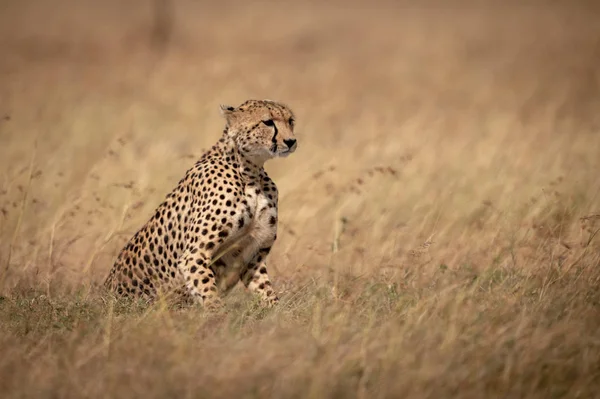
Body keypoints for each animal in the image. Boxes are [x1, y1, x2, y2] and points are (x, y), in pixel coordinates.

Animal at [105, 100, 298, 310]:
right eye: (268, 122)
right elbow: (209, 295)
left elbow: (267, 293)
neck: (251, 173)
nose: (291, 141)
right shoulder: (194, 255)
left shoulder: (253, 257)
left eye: (290, 121)